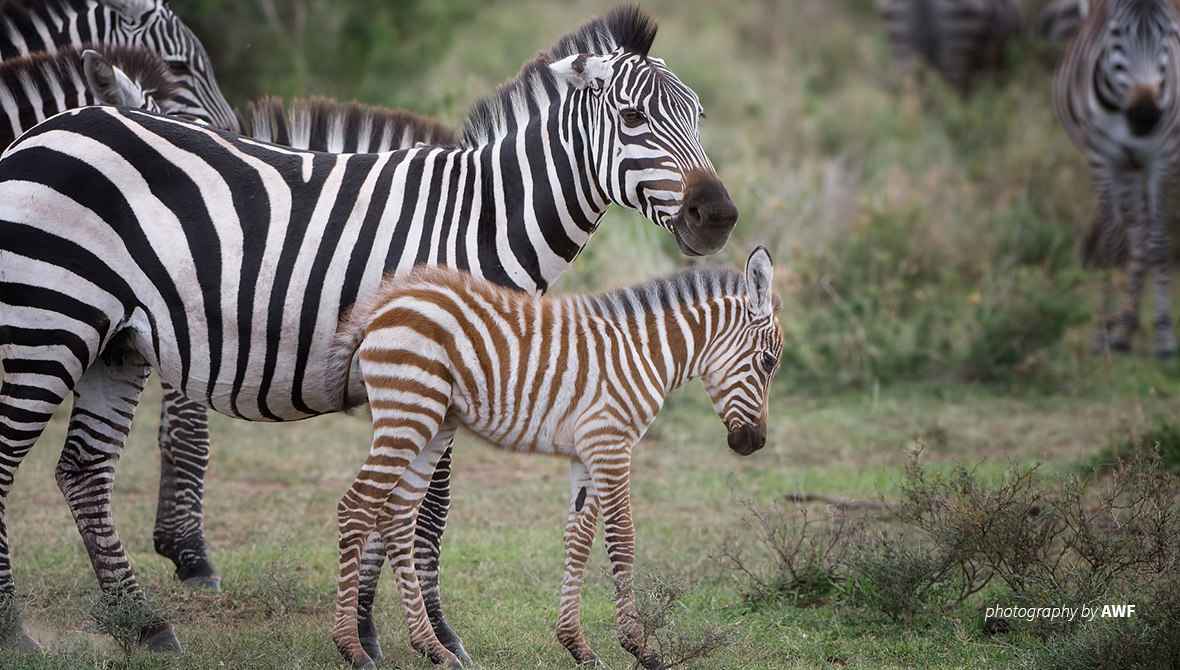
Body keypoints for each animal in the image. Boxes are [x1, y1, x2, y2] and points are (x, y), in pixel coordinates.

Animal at [323, 247, 783, 670]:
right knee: (356, 507)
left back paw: (433, 648)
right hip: (409, 413)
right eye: (768, 361)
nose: (756, 442)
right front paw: (640, 647)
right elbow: (623, 537)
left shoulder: (587, 451)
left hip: (434, 423)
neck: (645, 353)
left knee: (396, 517)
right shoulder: (611, 443)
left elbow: (578, 539)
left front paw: (578, 646)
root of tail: (387, 299)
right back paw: (353, 649)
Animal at [1052, 0, 1180, 356]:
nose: (1146, 117)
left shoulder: (1163, 157)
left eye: (1168, 32)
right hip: (1126, 167)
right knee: (1135, 231)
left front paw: (1165, 337)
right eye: (1117, 33)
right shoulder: (1102, 159)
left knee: (1144, 233)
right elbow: (1112, 244)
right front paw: (1103, 332)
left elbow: (1159, 243)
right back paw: (1123, 329)